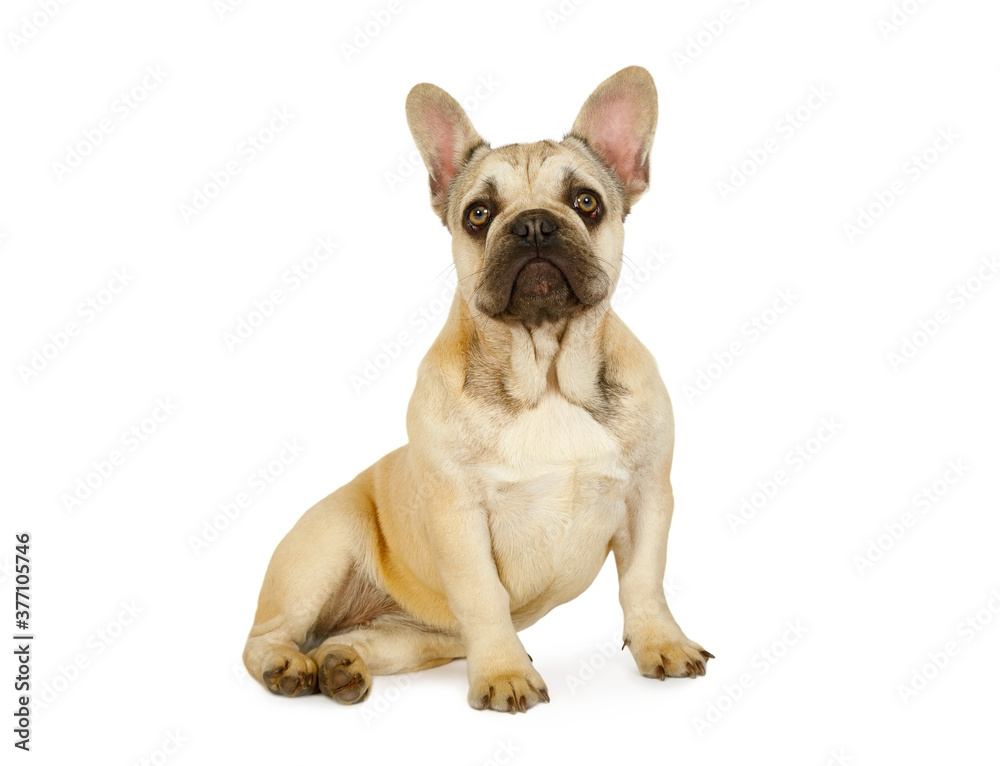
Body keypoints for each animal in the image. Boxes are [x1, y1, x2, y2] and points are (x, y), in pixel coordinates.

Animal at [242, 64, 712, 712]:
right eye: (480, 215)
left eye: (586, 202)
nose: (534, 224)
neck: (546, 372)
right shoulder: (459, 517)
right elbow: (485, 598)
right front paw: (506, 674)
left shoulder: (647, 497)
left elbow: (644, 581)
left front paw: (661, 644)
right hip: (324, 548)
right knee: (264, 637)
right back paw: (286, 666)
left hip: (418, 637)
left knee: (357, 640)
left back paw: (341, 666)